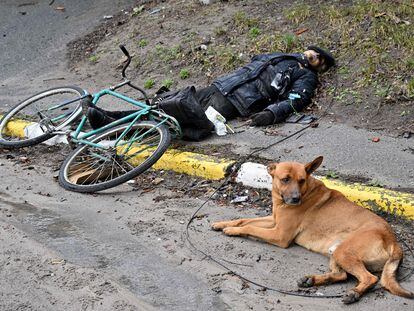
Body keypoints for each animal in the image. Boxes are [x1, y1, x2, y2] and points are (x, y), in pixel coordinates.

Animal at [212, 157, 412, 304]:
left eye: (301, 180)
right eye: (285, 179)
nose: (295, 199)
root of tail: (393, 239)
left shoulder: (279, 234)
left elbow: (250, 226)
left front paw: (231, 230)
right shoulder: (274, 221)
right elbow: (244, 220)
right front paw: (223, 223)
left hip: (344, 251)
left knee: (369, 278)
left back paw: (354, 293)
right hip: (336, 251)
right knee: (341, 275)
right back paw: (312, 280)